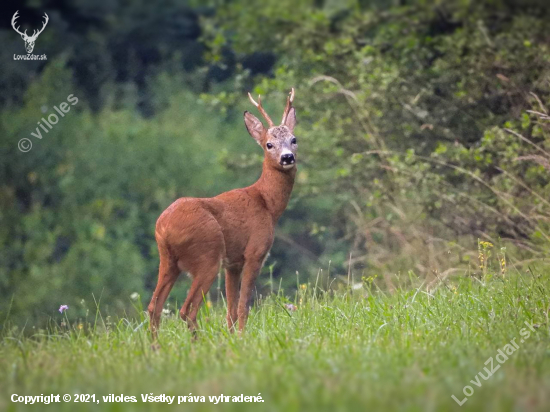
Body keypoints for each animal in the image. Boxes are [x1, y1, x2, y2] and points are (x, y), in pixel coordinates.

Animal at [149, 87, 300, 338]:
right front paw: (241, 337)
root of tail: (163, 228)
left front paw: (232, 337)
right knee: (186, 309)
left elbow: (231, 307)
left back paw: (156, 345)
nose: (287, 157)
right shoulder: (255, 252)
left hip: (168, 260)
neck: (267, 204)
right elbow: (243, 306)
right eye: (269, 144)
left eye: (294, 139)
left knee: (154, 307)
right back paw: (200, 342)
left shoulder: (233, 263)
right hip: (207, 255)